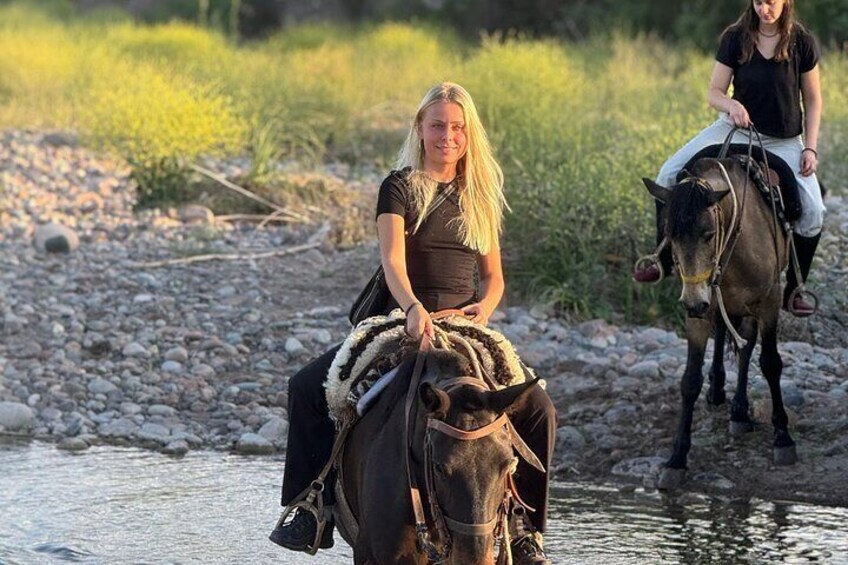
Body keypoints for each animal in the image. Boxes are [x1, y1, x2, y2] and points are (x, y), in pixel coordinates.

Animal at [644, 152, 800, 486]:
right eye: (670, 236)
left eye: (708, 234)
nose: (693, 301)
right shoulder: (698, 314)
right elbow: (690, 380)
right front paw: (676, 459)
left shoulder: (768, 303)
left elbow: (770, 363)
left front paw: (783, 437)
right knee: (729, 338)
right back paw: (721, 394)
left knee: (746, 346)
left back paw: (740, 411)